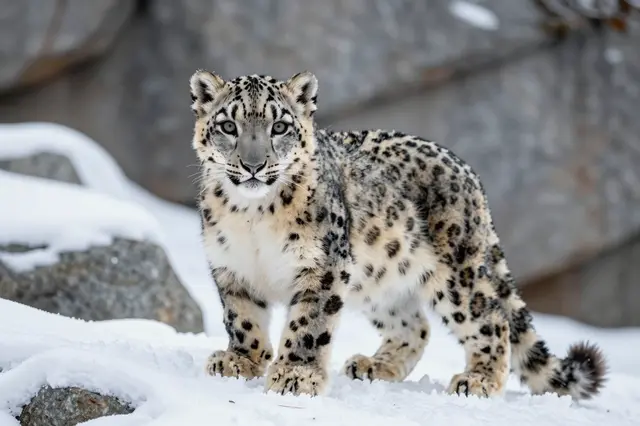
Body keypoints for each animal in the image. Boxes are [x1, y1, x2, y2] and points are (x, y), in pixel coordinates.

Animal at [189, 69, 607, 399]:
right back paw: (375, 365)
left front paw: (297, 374)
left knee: (492, 318)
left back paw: (478, 380)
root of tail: (468, 172)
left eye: (279, 127)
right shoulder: (230, 266)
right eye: (229, 126)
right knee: (415, 325)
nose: (254, 165)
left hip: (456, 275)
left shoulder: (323, 266)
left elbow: (308, 323)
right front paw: (239, 361)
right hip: (381, 279)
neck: (252, 217)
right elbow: (242, 318)